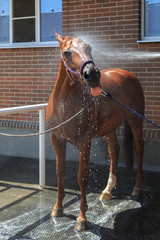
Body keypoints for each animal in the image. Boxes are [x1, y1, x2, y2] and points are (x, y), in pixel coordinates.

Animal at [45, 33, 144, 231]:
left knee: (139, 149)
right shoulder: (56, 140)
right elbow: (60, 172)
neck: (63, 106)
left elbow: (82, 177)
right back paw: (107, 191)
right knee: (114, 150)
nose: (92, 74)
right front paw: (58, 208)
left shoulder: (85, 143)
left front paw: (82, 219)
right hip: (109, 128)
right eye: (66, 52)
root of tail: (128, 74)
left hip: (136, 122)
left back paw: (137, 188)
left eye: (89, 47)